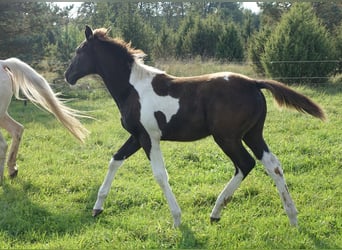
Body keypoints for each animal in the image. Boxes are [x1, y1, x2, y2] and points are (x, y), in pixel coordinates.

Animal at [65, 26, 324, 228]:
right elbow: (115, 160)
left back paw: (216, 212)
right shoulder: (137, 137)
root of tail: (253, 83)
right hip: (252, 134)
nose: (68, 76)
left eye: (79, 51)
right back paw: (292, 216)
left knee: (245, 164)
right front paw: (97, 208)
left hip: (227, 137)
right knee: (273, 165)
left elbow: (160, 175)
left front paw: (177, 219)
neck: (133, 88)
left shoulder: (149, 137)